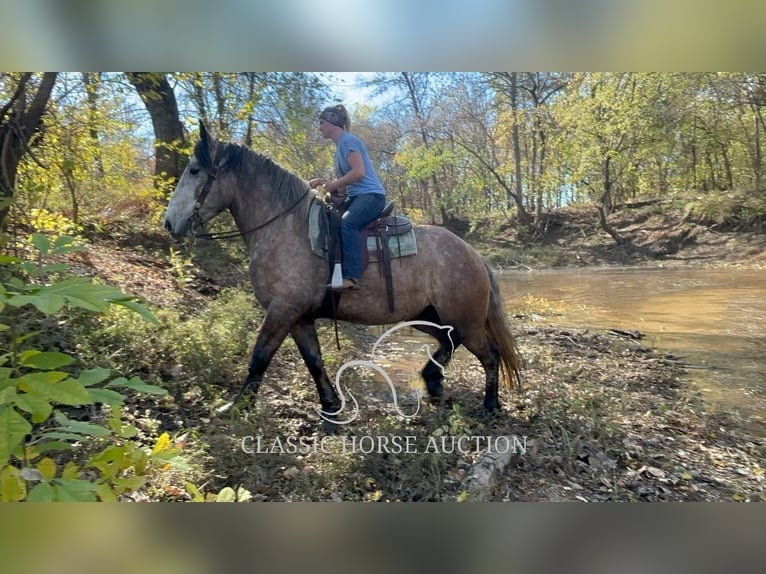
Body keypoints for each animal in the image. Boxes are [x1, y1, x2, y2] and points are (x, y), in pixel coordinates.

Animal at [161, 126, 520, 432]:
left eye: (195, 170)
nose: (168, 223)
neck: (286, 228)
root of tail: (474, 256)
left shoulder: (282, 310)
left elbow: (259, 357)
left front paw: (237, 406)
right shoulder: (299, 318)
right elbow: (314, 362)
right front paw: (330, 409)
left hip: (465, 318)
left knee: (489, 355)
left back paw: (489, 406)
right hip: (430, 315)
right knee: (449, 341)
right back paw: (432, 382)